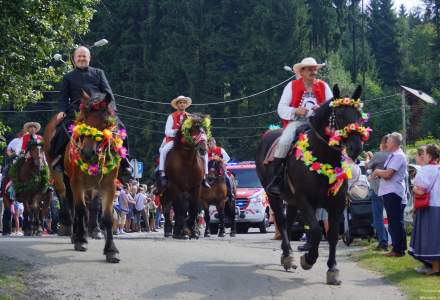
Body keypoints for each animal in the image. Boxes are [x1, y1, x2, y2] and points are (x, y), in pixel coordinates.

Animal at [44, 92, 122, 262]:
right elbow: (80, 209)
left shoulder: (109, 185)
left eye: (105, 121)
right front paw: (81, 240)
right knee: (65, 198)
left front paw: (111, 250)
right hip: (59, 175)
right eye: (84, 119)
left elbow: (106, 217)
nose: (87, 153)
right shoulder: (77, 183)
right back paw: (69, 227)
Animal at [256, 85, 366, 284]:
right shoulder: (304, 200)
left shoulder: (336, 204)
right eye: (339, 115)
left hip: (291, 200)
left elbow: (331, 234)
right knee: (282, 221)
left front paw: (332, 269)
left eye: (359, 116)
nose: (356, 147)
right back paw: (289, 256)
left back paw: (287, 255)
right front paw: (308, 259)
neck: (322, 155)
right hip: (274, 196)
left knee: (288, 222)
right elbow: (315, 230)